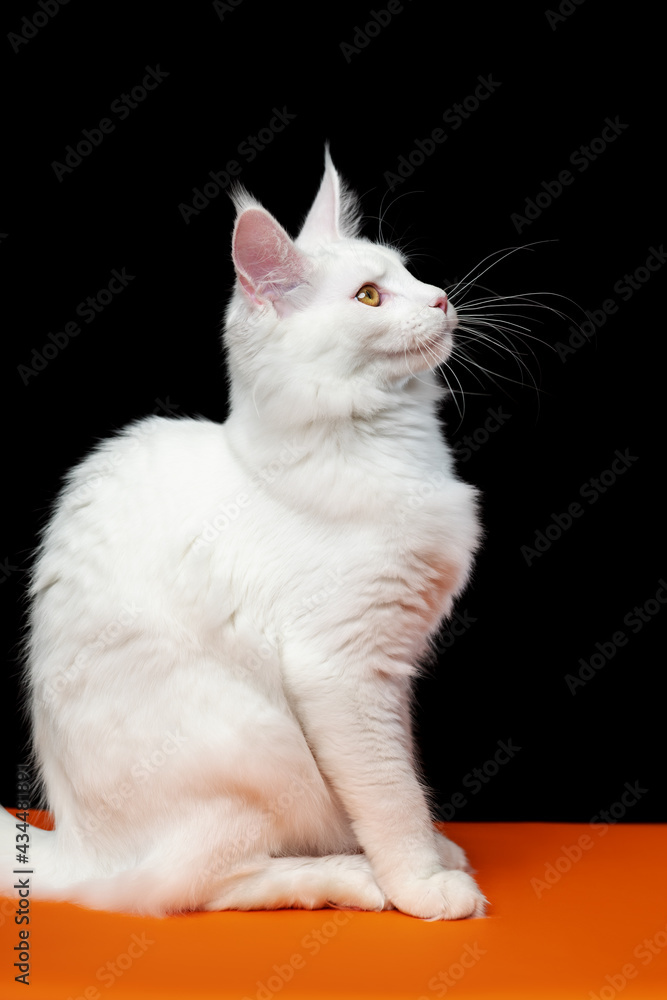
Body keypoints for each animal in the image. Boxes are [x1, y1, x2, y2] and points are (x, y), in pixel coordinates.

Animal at [2, 148, 488, 920]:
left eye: (409, 274)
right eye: (369, 298)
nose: (440, 298)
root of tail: (73, 849)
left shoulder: (392, 669)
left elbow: (403, 778)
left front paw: (433, 852)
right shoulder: (341, 668)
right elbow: (389, 795)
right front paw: (420, 883)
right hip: (260, 744)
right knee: (193, 888)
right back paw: (348, 877)